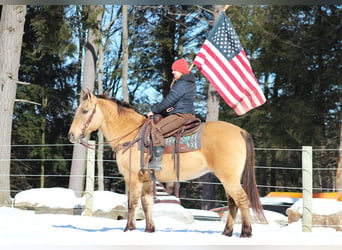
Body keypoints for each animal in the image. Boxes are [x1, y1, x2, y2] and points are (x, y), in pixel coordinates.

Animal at [68, 91, 266, 237]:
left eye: (85, 111)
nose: (71, 135)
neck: (131, 134)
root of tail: (240, 131)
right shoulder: (147, 179)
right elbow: (147, 203)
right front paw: (149, 229)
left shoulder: (132, 177)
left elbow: (132, 202)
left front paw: (129, 229)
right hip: (228, 178)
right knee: (232, 202)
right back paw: (226, 232)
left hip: (229, 178)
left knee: (241, 199)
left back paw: (246, 232)